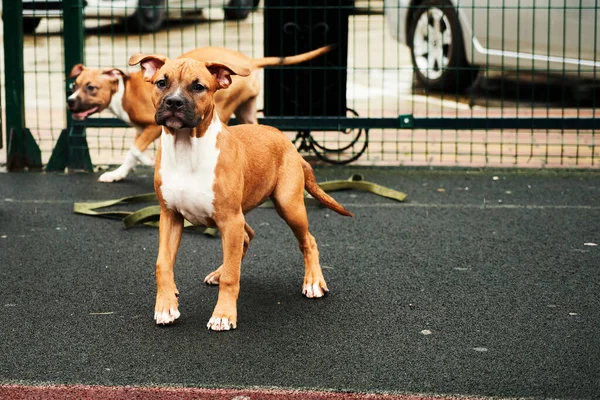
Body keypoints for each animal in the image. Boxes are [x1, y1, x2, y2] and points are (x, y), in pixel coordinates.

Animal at [69, 46, 338, 183]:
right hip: (247, 112)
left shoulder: (153, 126)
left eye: (91, 88)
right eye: (74, 85)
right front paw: (119, 173)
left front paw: (143, 162)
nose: (70, 102)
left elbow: (134, 150)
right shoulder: (144, 130)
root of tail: (248, 61)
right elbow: (132, 153)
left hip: (224, 110)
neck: (123, 91)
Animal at [126, 54, 352, 332]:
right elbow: (162, 264)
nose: (174, 102)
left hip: (288, 205)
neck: (186, 148)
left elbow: (233, 277)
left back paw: (313, 282)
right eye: (161, 83)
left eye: (198, 87)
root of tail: (287, 142)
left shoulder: (229, 219)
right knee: (247, 237)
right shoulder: (170, 217)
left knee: (307, 240)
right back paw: (219, 271)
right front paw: (166, 306)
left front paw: (223, 315)